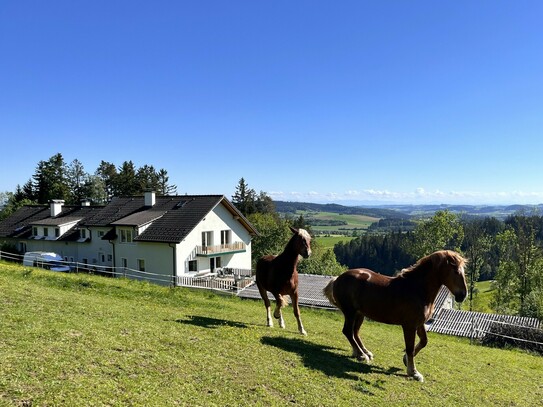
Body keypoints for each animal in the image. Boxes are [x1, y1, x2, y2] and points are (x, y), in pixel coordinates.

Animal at [324, 249, 468, 382]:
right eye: (456, 271)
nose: (463, 295)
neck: (417, 289)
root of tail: (338, 279)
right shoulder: (409, 326)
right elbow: (410, 348)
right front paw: (414, 372)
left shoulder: (419, 323)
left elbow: (424, 341)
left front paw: (405, 360)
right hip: (350, 312)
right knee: (348, 331)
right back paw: (361, 355)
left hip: (359, 314)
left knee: (355, 332)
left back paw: (363, 352)